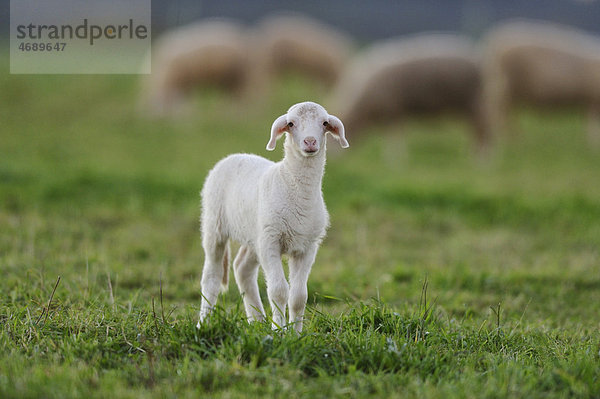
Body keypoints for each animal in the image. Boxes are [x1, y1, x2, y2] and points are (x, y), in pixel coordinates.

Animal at [198, 101, 346, 332]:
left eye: (324, 123)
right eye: (291, 123)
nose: (310, 141)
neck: (292, 185)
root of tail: (235, 156)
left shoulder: (307, 246)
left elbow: (298, 296)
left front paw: (295, 333)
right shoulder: (270, 241)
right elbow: (278, 291)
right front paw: (279, 331)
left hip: (254, 235)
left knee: (242, 268)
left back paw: (257, 321)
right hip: (214, 223)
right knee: (211, 276)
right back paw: (203, 323)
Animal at [328, 33, 492, 150]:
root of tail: (479, 59)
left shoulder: (393, 110)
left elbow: (394, 140)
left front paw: (395, 161)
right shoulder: (395, 112)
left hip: (473, 102)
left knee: (483, 131)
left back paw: (481, 160)